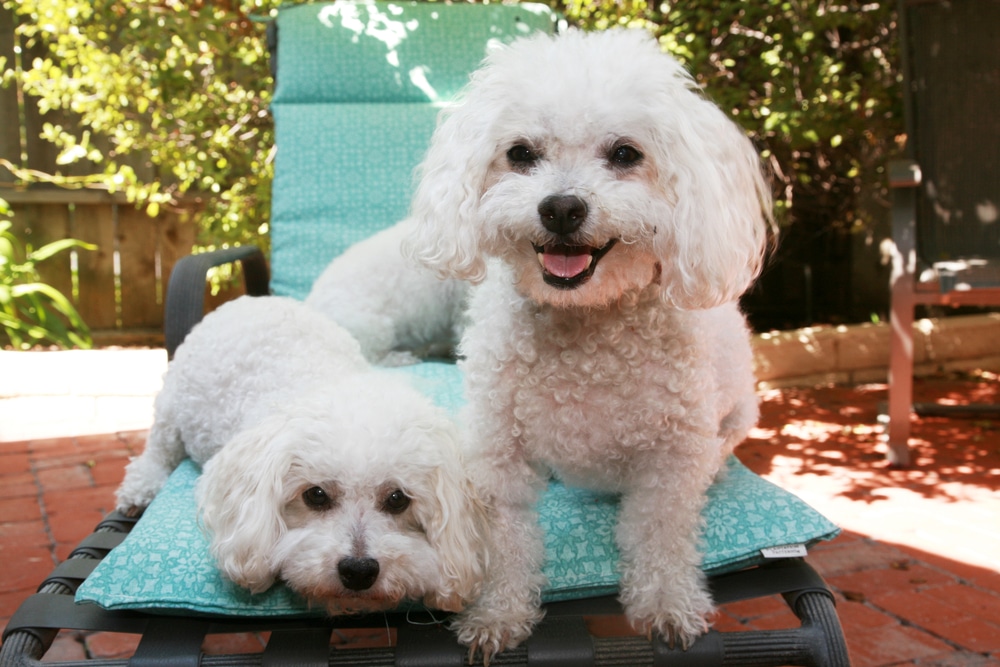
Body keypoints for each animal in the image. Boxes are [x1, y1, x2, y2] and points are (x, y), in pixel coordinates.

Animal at [115, 298, 486, 616]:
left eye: (397, 499)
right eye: (315, 495)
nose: (359, 570)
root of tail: (250, 299)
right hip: (171, 407)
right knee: (158, 448)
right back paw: (141, 486)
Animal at [404, 28, 772, 660]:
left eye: (625, 153)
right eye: (520, 153)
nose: (560, 208)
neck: (587, 332)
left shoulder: (670, 462)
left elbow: (661, 536)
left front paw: (668, 605)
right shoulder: (498, 455)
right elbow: (505, 540)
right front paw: (498, 614)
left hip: (735, 414)